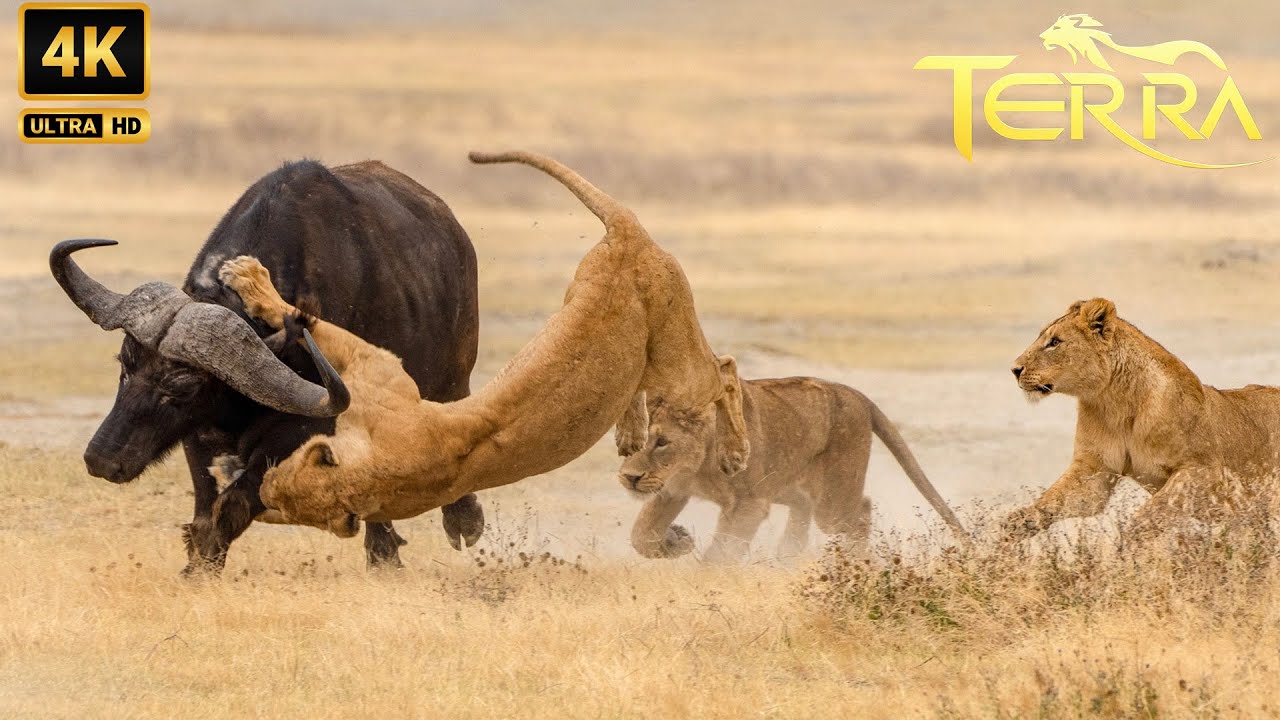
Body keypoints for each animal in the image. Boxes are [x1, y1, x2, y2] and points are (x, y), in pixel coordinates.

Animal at [214, 150, 749, 535]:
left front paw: (248, 276)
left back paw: (735, 454)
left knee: (723, 369)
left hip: (678, 365)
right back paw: (630, 435)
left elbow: (311, 321)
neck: (386, 470)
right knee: (645, 379)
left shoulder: (381, 373)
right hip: (600, 308)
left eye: (280, 484)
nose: (260, 487)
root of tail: (626, 231)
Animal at [618, 361, 968, 563]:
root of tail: (856, 394)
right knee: (804, 509)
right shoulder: (671, 489)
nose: (629, 477)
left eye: (662, 442)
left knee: (861, 510)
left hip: (833, 502)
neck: (696, 465)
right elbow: (640, 534)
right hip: (788, 484)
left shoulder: (748, 503)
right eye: (627, 442)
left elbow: (723, 550)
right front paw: (677, 542)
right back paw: (787, 554)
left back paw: (854, 561)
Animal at [1006, 298, 1280, 541]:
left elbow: (1150, 514)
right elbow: (1054, 499)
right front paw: (1018, 524)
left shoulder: (1205, 470)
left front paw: (1130, 548)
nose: (1015, 369)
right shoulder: (1095, 468)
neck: (1114, 401)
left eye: (1054, 342)